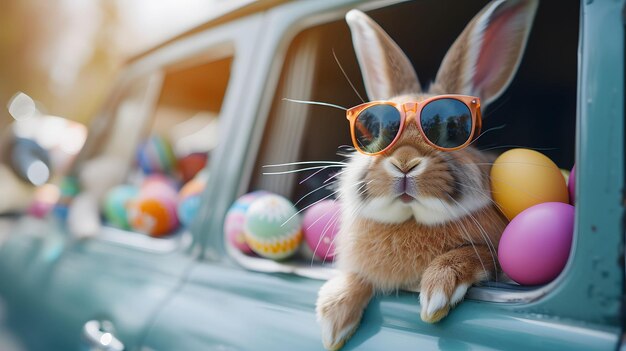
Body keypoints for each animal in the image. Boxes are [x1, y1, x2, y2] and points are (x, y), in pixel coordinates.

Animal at [316, 0, 536, 350]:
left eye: (452, 130)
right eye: (375, 131)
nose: (404, 162)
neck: (412, 219)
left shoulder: (496, 257)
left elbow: (479, 255)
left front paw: (438, 290)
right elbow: (356, 274)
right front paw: (333, 316)